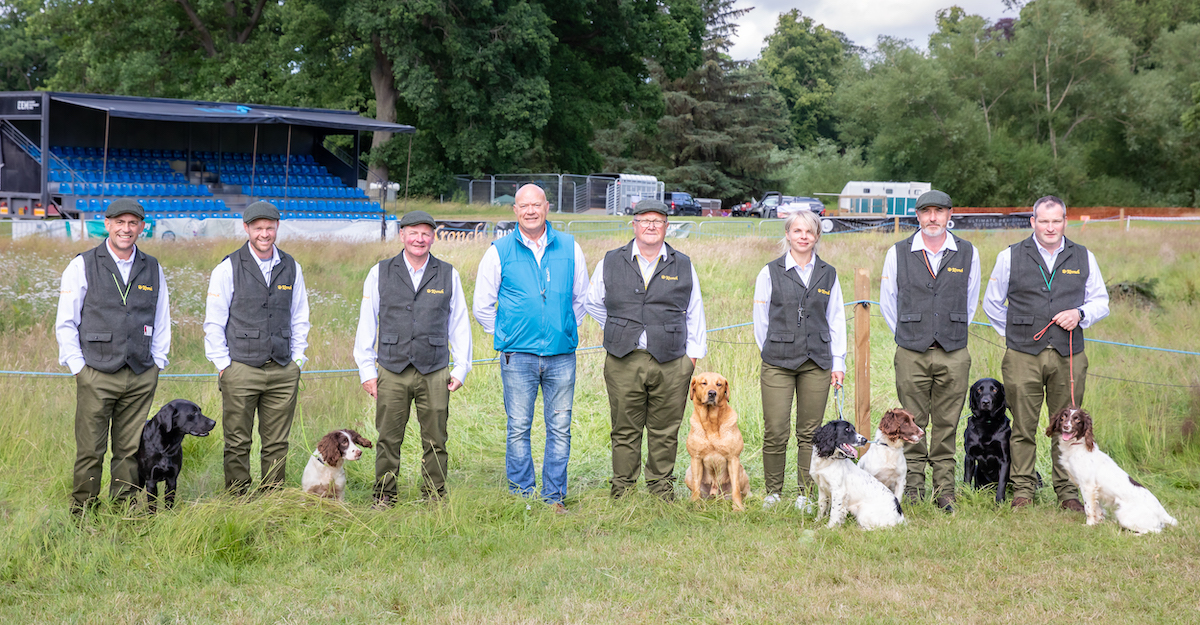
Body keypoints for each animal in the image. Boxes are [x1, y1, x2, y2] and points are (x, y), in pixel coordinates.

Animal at [686, 371, 748, 508]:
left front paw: (738, 508)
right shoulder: (696, 458)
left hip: (741, 471)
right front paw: (695, 505)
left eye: (719, 384)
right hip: (688, 473)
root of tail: (716, 494)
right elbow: (696, 487)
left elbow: (736, 489)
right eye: (703, 383)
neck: (711, 424)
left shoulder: (733, 458)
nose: (712, 393)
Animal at [1046, 407, 1176, 532]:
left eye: (1077, 419)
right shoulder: (1095, 491)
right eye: (1063, 417)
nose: (1065, 426)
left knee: (1154, 530)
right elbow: (1097, 509)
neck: (1076, 447)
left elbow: (1089, 509)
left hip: (1124, 515)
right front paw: (1099, 523)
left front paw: (1089, 525)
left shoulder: (1087, 487)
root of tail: (1162, 512)